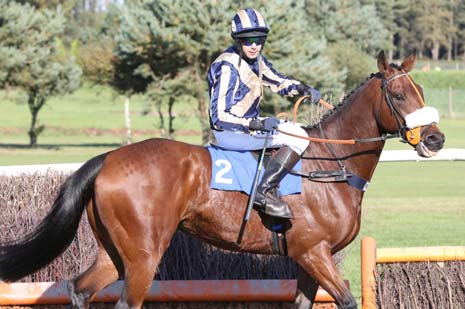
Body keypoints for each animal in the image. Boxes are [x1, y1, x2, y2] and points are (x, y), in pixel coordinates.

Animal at [0, 50, 442, 306]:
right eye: (398, 95)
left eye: (421, 89)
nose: (435, 139)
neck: (329, 163)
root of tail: (108, 159)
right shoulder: (313, 252)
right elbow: (347, 300)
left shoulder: (306, 259)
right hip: (144, 257)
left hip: (115, 253)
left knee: (79, 289)